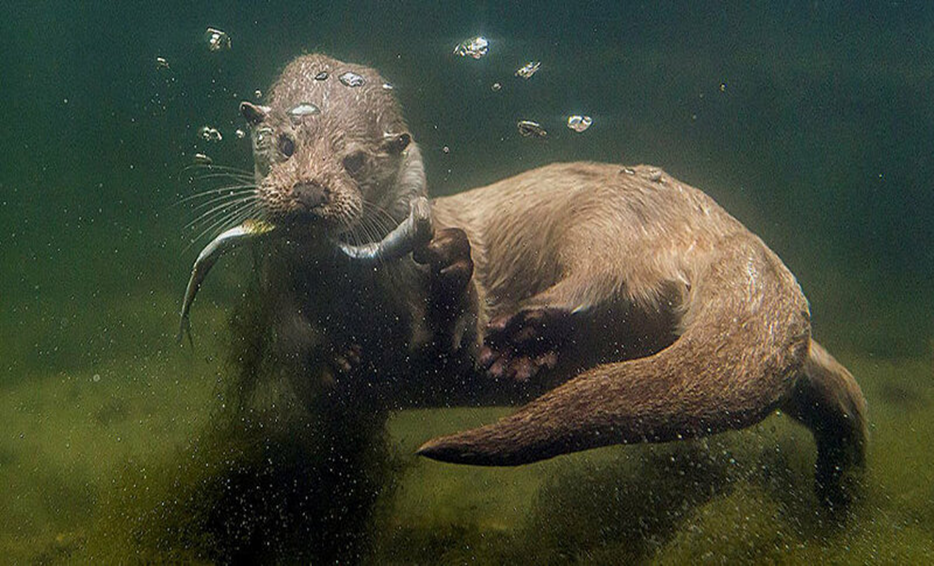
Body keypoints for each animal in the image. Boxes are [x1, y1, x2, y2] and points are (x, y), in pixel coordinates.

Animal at [188, 54, 872, 510]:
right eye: (284, 144)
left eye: (354, 160)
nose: (308, 191)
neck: (349, 296)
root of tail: (727, 229)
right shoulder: (279, 300)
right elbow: (307, 361)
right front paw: (333, 362)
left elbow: (440, 334)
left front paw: (452, 270)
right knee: (839, 389)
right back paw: (841, 491)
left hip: (607, 219)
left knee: (600, 279)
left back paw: (523, 338)